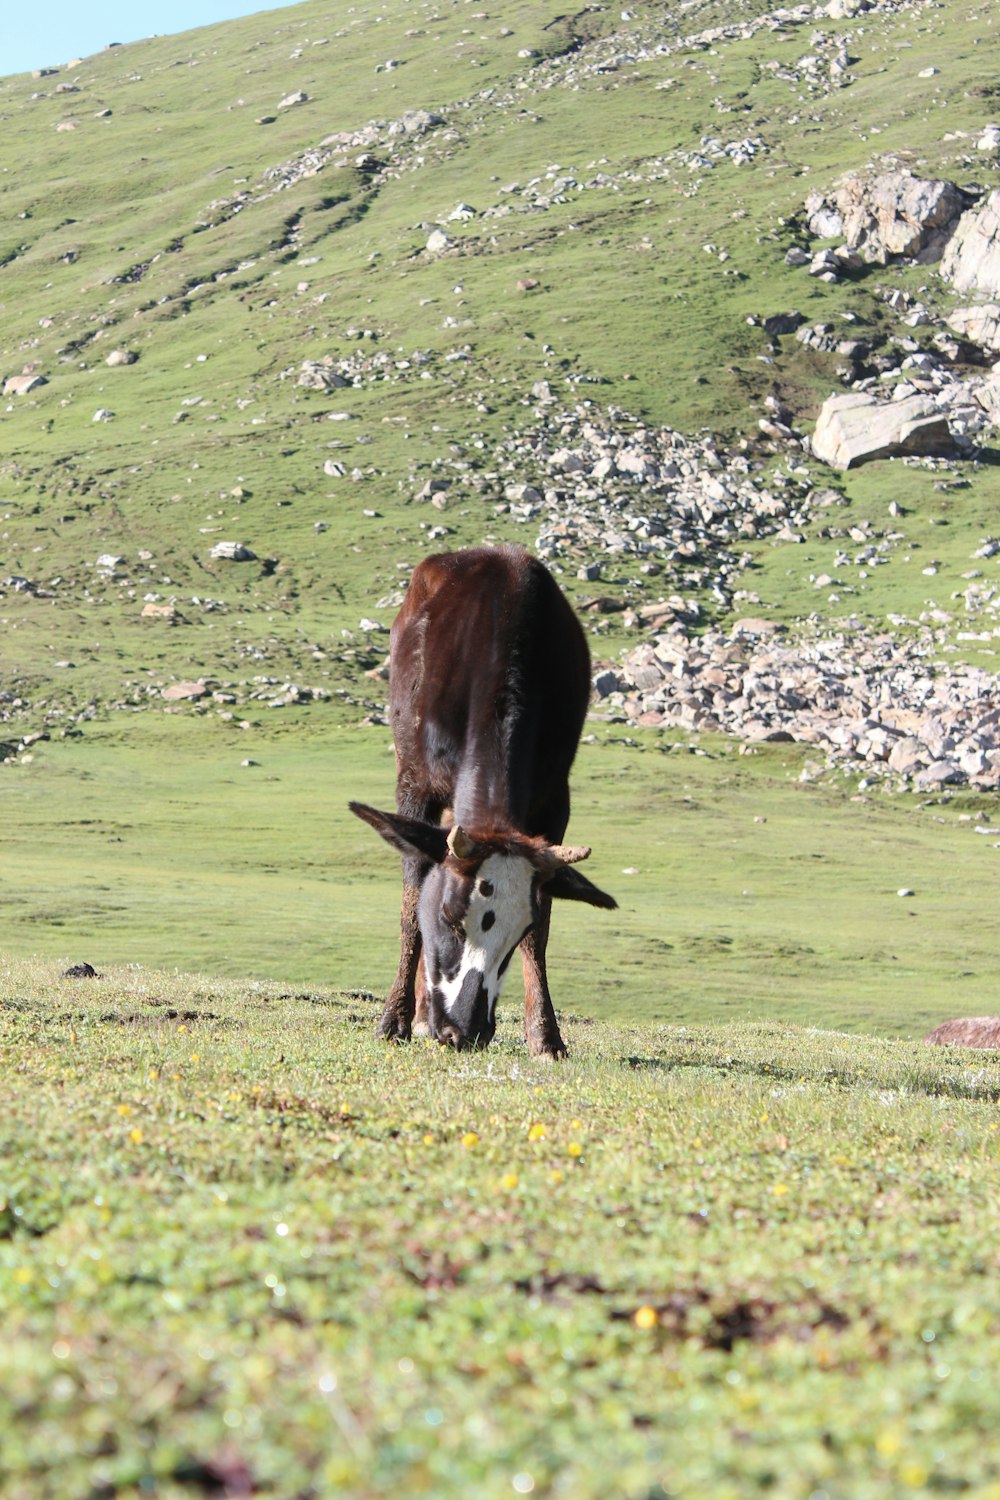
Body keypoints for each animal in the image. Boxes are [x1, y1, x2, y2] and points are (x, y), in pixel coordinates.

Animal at [352, 543, 617, 1056]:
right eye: (450, 917)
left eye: (516, 931)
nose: (464, 1030)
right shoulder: (414, 786)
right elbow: (411, 900)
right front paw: (393, 1020)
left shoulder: (553, 803)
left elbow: (544, 928)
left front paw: (545, 1036)